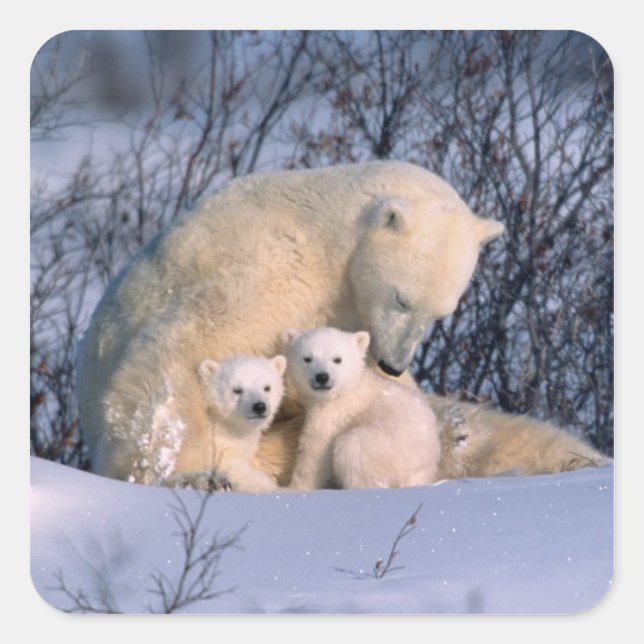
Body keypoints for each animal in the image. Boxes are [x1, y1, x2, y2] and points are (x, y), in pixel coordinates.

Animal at [162, 354, 286, 492]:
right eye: (237, 390)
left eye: (267, 387)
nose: (259, 407)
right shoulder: (214, 445)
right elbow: (232, 467)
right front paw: (279, 488)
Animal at [283, 327, 441, 490]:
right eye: (307, 358)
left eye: (337, 359)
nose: (322, 377)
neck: (350, 388)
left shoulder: (335, 412)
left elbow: (315, 448)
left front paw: (292, 487)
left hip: (385, 447)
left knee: (352, 450)